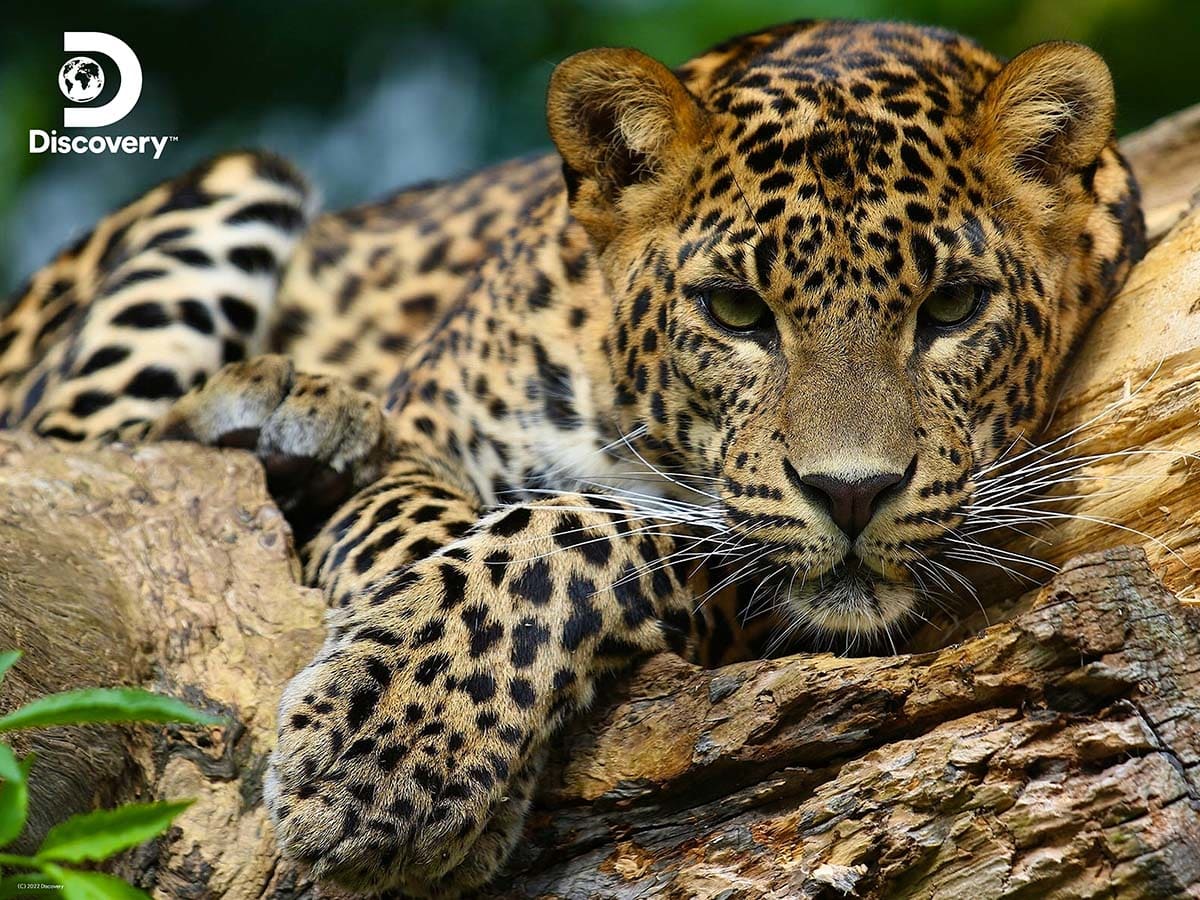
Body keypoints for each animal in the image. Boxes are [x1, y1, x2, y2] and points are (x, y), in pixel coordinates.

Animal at [0, 19, 1144, 897]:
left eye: (953, 306)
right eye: (735, 311)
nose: (852, 494)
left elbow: (571, 535)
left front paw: (397, 752)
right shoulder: (420, 431)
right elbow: (431, 533)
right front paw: (395, 735)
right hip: (236, 192)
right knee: (74, 449)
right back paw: (279, 408)